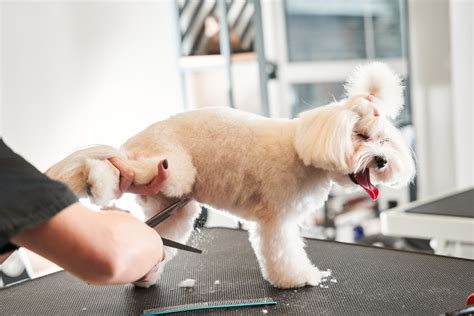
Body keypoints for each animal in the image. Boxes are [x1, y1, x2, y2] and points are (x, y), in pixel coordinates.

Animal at [45, 62, 414, 288]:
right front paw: (297, 278)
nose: (381, 161)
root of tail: (135, 141)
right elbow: (283, 252)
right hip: (169, 165)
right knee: (112, 166)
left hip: (172, 201)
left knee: (156, 233)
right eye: (359, 136)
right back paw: (95, 182)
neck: (303, 150)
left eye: (384, 140)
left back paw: (146, 272)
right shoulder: (276, 220)